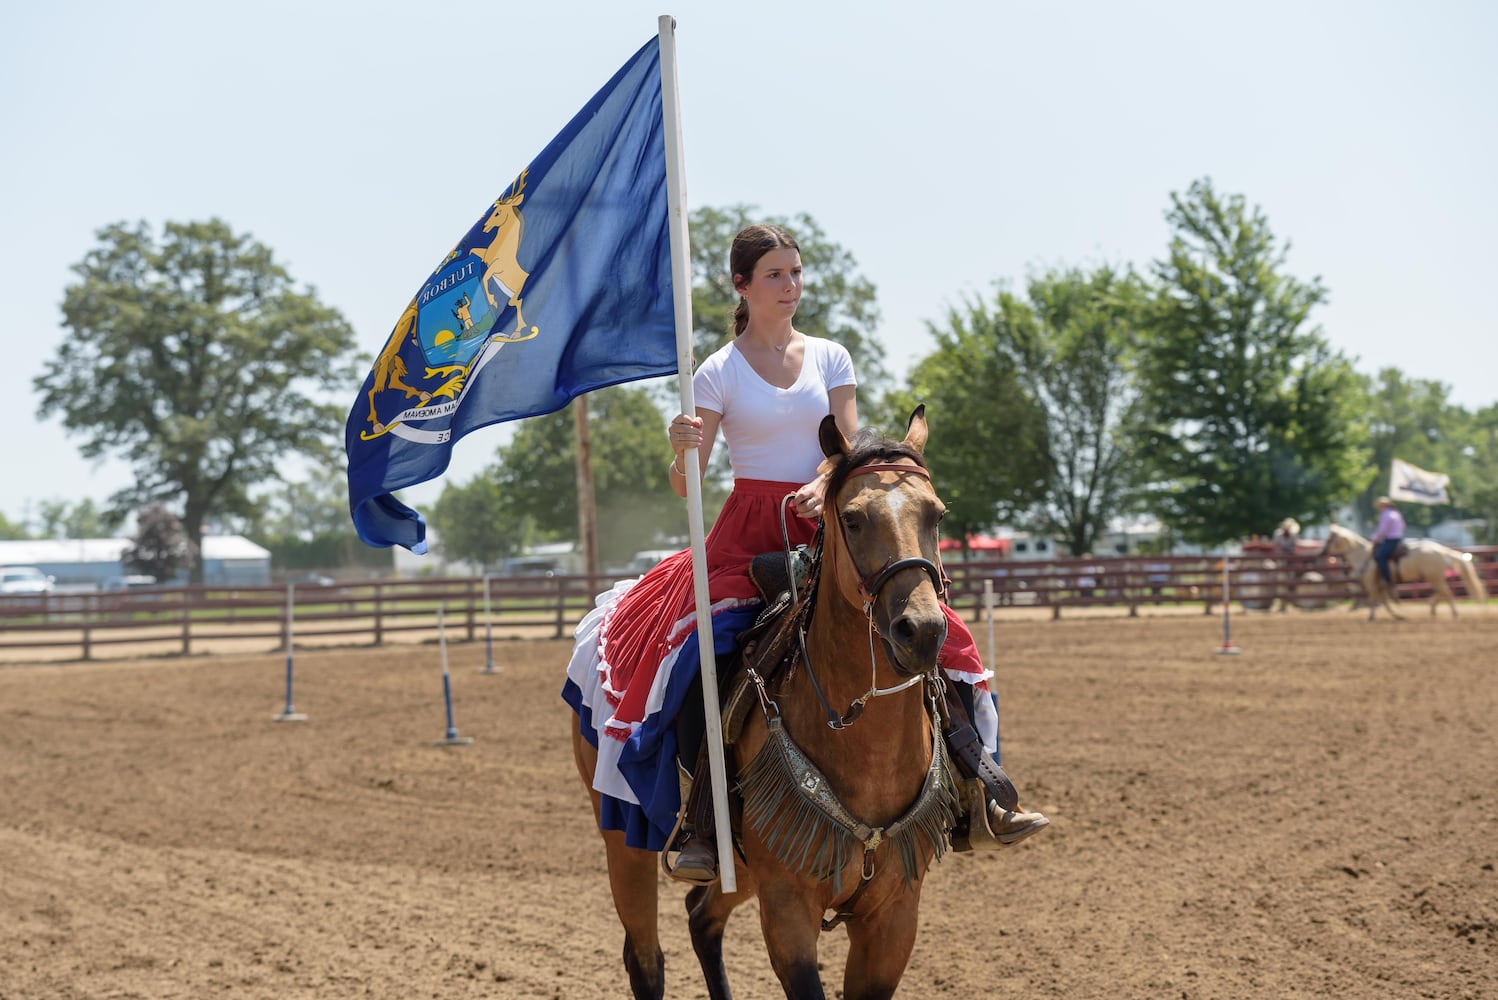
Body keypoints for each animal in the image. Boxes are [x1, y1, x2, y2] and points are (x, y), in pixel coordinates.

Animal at [566, 407, 964, 999]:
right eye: (852, 519)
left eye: (936, 515)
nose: (921, 631)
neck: (863, 745)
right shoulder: (788, 909)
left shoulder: (894, 913)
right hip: (624, 837)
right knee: (645, 959)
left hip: (738, 869)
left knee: (700, 916)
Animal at [1324, 523, 1486, 616]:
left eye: (1329, 539)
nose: (1322, 552)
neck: (1364, 555)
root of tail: (1443, 550)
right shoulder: (1381, 585)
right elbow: (1383, 601)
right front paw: (1396, 615)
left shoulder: (1372, 583)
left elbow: (1376, 599)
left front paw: (1373, 615)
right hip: (1434, 577)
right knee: (1442, 591)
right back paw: (1433, 608)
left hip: (1434, 577)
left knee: (1446, 591)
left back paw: (1452, 612)